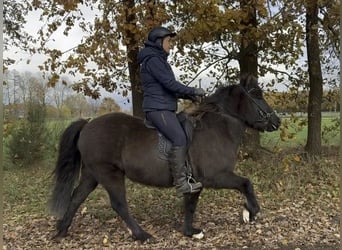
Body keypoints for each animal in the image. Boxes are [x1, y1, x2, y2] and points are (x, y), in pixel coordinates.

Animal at [50, 74, 280, 242]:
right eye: (257, 95)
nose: (276, 122)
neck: (217, 127)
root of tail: (88, 124)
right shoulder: (216, 176)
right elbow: (246, 183)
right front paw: (250, 211)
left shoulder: (196, 182)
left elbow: (191, 204)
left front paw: (190, 231)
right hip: (108, 173)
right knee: (119, 204)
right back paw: (142, 235)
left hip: (92, 174)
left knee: (77, 197)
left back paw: (62, 230)